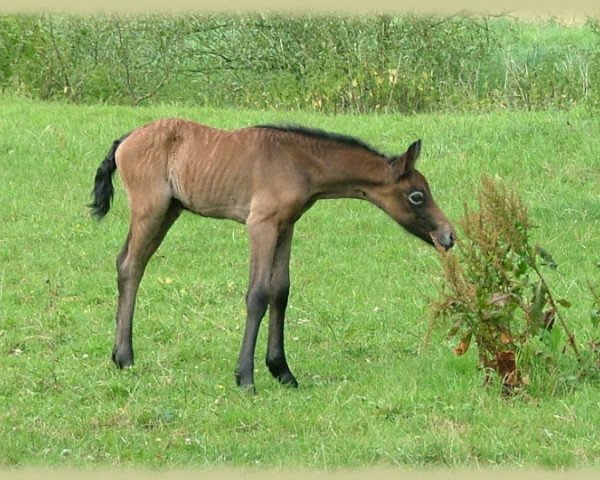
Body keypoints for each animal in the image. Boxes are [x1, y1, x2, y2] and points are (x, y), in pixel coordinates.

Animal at [90, 119, 454, 390]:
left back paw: (119, 355)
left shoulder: (286, 225)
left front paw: (282, 371)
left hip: (169, 211)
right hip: (151, 210)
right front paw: (246, 378)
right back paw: (125, 357)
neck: (299, 162)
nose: (448, 235)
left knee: (130, 263)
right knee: (130, 265)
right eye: (417, 196)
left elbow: (281, 290)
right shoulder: (261, 224)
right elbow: (258, 294)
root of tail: (125, 139)